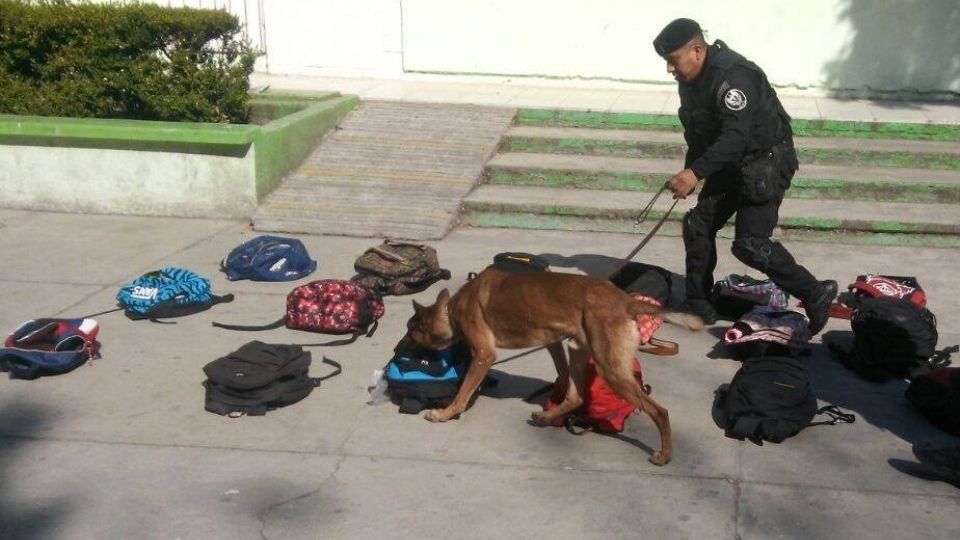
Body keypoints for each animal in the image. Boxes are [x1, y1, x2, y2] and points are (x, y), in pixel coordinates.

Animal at [402, 268, 700, 466]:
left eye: (409, 331)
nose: (396, 349)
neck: (451, 309)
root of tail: (626, 300)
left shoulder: (484, 355)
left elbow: (462, 392)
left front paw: (444, 413)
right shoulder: (553, 342)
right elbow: (562, 376)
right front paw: (553, 398)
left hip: (610, 368)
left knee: (659, 411)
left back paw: (665, 455)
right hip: (579, 351)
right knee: (577, 395)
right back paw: (546, 416)